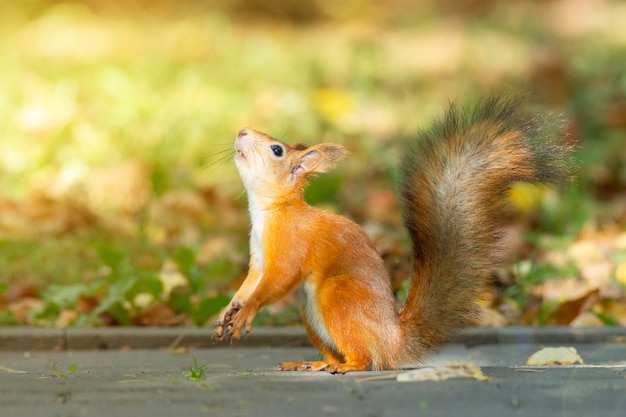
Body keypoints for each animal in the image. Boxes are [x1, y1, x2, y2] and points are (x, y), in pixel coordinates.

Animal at [213, 95, 572, 374]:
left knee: (366, 359)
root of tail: (393, 341)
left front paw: (246, 312)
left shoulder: (291, 244)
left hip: (338, 295)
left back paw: (347, 366)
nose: (242, 131)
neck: (271, 209)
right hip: (312, 315)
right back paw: (314, 362)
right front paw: (229, 310)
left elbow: (279, 279)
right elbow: (251, 281)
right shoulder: (259, 257)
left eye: (276, 150)